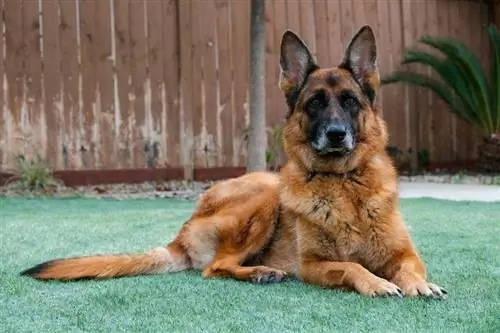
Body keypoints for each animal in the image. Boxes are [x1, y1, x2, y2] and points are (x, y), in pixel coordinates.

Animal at [21, 25, 448, 298]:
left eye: (349, 102)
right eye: (314, 104)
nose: (336, 134)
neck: (344, 185)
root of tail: (182, 232)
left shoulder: (403, 254)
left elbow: (412, 268)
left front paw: (418, 284)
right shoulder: (315, 265)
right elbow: (352, 266)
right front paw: (377, 283)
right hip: (264, 196)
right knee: (215, 267)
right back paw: (262, 272)